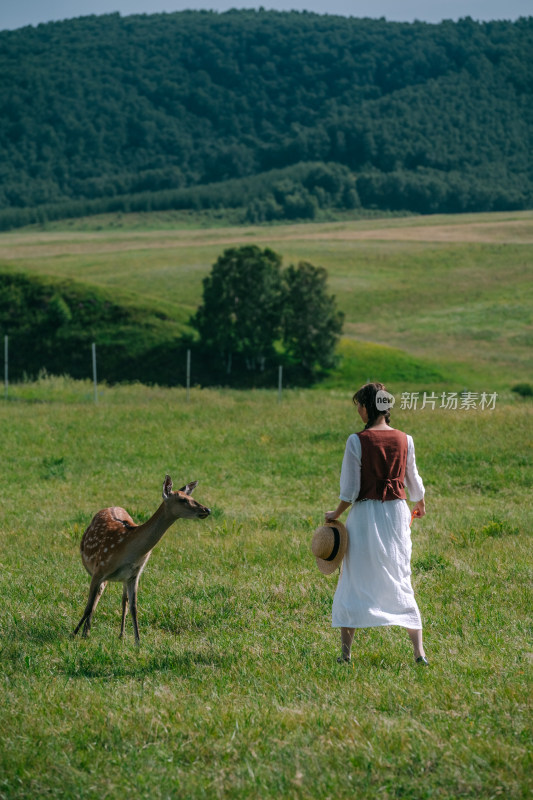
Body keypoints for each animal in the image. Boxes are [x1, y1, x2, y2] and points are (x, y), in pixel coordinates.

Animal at [72, 476, 210, 644]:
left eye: (192, 497)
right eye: (183, 499)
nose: (207, 510)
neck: (128, 550)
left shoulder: (134, 574)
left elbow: (134, 607)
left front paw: (138, 641)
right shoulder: (99, 569)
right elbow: (88, 606)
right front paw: (73, 634)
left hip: (121, 578)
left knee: (121, 600)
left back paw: (117, 634)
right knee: (95, 599)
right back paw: (86, 632)